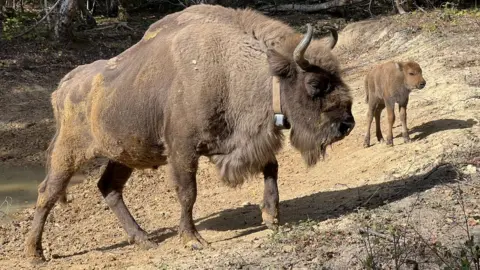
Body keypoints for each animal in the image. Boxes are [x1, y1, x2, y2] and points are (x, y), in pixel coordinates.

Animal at [24, 4, 354, 262]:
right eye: (315, 84)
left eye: (339, 76)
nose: (347, 125)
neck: (231, 68)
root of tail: (64, 85)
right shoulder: (182, 150)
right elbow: (187, 193)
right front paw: (192, 239)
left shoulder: (243, 142)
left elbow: (271, 167)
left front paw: (271, 217)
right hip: (69, 153)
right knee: (47, 192)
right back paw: (35, 253)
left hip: (122, 154)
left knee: (109, 187)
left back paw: (144, 240)